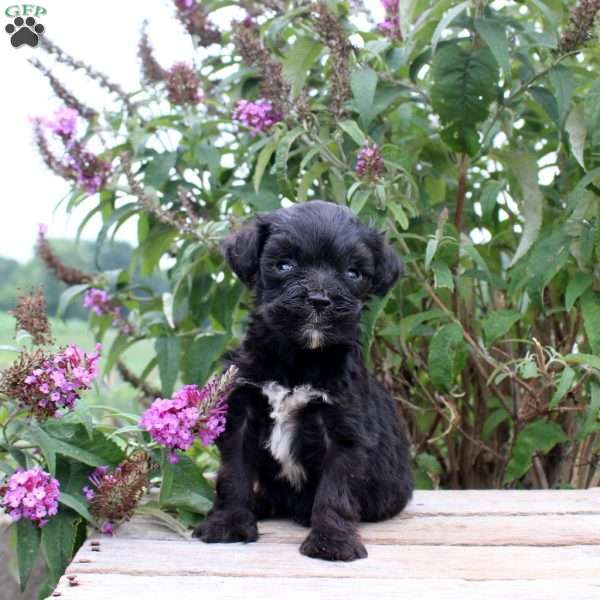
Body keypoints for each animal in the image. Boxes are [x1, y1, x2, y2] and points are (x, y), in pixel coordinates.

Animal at [195, 202, 414, 564]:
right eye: (284, 265)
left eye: (353, 273)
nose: (319, 299)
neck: (299, 360)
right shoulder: (241, 414)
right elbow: (233, 474)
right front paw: (228, 523)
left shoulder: (343, 431)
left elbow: (335, 490)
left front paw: (331, 541)